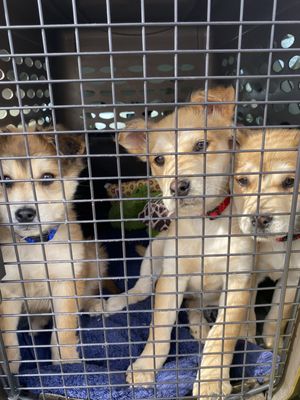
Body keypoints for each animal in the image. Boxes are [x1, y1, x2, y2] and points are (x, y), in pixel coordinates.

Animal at [0, 126, 107, 376]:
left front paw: (67, 364)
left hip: (95, 256)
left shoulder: (65, 282)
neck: (35, 245)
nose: (25, 213)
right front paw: (11, 366)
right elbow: (8, 337)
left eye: (47, 177)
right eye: (5, 180)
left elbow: (64, 330)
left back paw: (96, 305)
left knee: (86, 295)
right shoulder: (9, 290)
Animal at [106, 86, 254, 396]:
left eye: (200, 145)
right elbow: (160, 327)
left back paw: (203, 327)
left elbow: (224, 335)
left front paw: (211, 380)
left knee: (196, 307)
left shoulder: (238, 280)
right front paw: (145, 366)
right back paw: (114, 303)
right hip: (155, 250)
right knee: (143, 289)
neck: (206, 222)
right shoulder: (172, 278)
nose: (178, 187)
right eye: (159, 160)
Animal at [234, 130, 300, 348]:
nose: (259, 219)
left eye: (289, 182)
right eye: (243, 181)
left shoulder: (292, 279)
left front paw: (272, 344)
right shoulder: (251, 274)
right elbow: (248, 314)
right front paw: (247, 340)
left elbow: (278, 314)